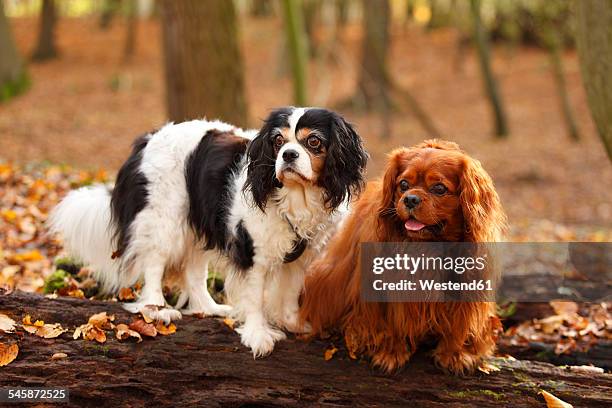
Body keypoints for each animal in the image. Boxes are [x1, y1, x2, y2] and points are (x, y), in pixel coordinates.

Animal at [50, 107, 366, 356]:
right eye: (278, 141)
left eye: (313, 141)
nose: (288, 155)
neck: (296, 196)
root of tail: (146, 140)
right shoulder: (251, 251)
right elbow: (254, 296)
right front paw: (258, 334)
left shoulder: (302, 255)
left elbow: (291, 290)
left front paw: (292, 321)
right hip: (163, 218)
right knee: (153, 264)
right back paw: (156, 308)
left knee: (194, 272)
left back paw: (209, 308)